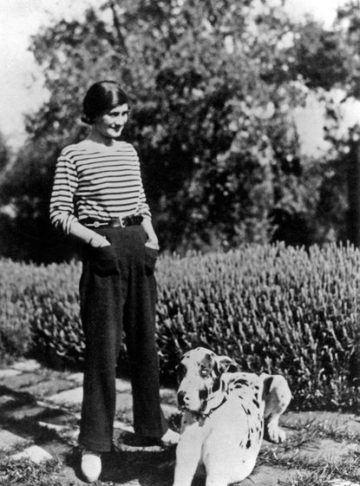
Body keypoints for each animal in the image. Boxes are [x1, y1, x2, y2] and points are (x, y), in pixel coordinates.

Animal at [173, 348, 292, 484]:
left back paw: (274, 431)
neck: (205, 419)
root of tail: (252, 374)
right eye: (181, 371)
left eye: (204, 371)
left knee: (273, 417)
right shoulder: (183, 468)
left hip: (279, 381)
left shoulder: (216, 476)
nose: (181, 396)